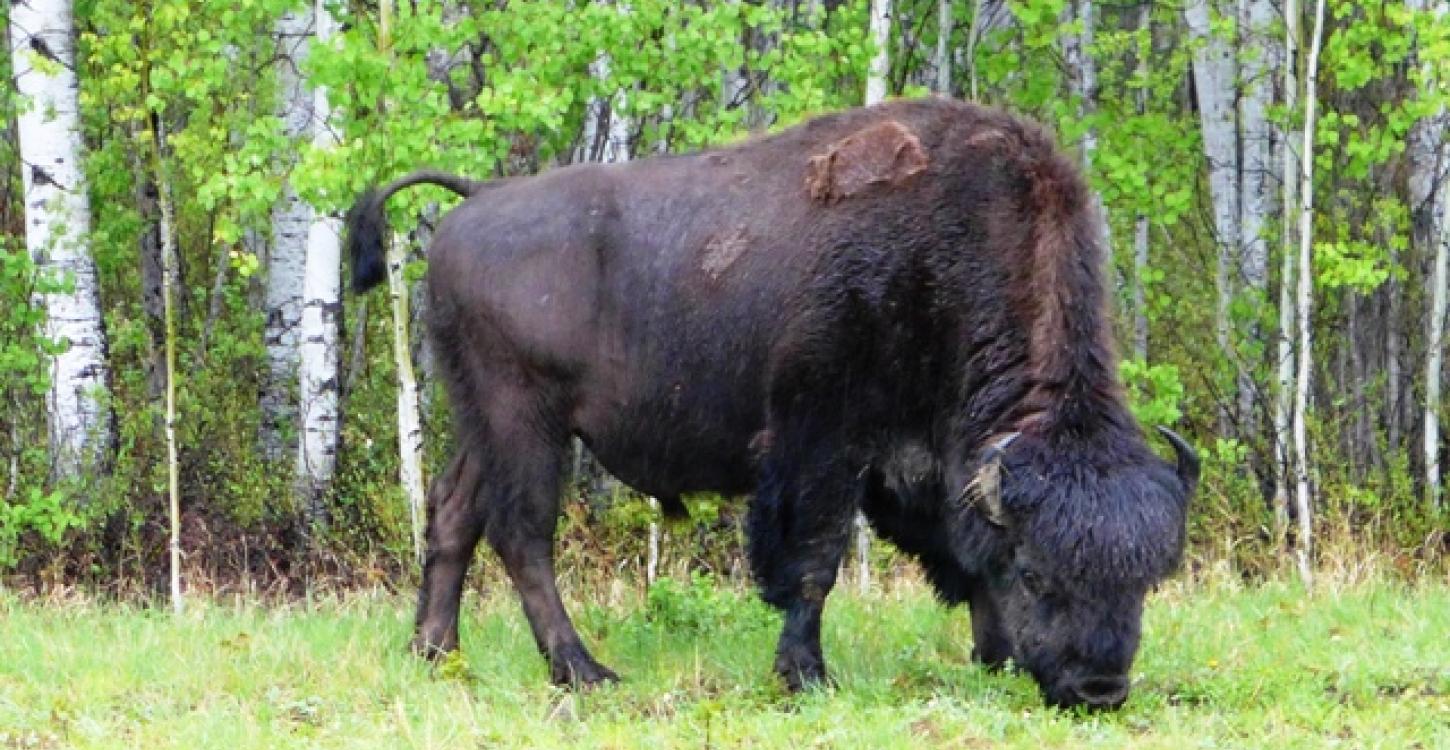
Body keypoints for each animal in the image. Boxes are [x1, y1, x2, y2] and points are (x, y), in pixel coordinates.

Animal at [344, 97, 1199, 710]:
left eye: (1146, 581)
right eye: (1038, 575)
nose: (1101, 690)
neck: (944, 254)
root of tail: (478, 197)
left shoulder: (926, 460)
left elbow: (958, 553)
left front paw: (990, 659)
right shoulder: (823, 442)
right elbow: (814, 561)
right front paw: (807, 675)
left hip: (479, 419)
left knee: (453, 514)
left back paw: (434, 652)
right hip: (526, 419)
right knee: (522, 535)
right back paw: (584, 671)